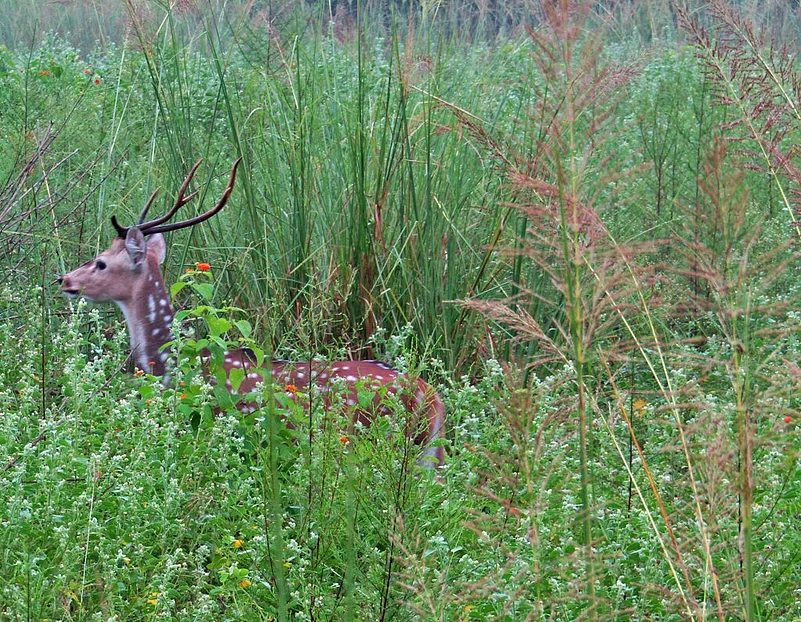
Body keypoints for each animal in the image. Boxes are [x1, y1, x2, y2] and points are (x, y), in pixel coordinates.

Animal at [58, 159, 445, 468]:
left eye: (101, 262)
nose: (65, 280)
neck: (171, 364)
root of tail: (431, 397)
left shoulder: (208, 420)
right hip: (429, 456)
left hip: (371, 439)